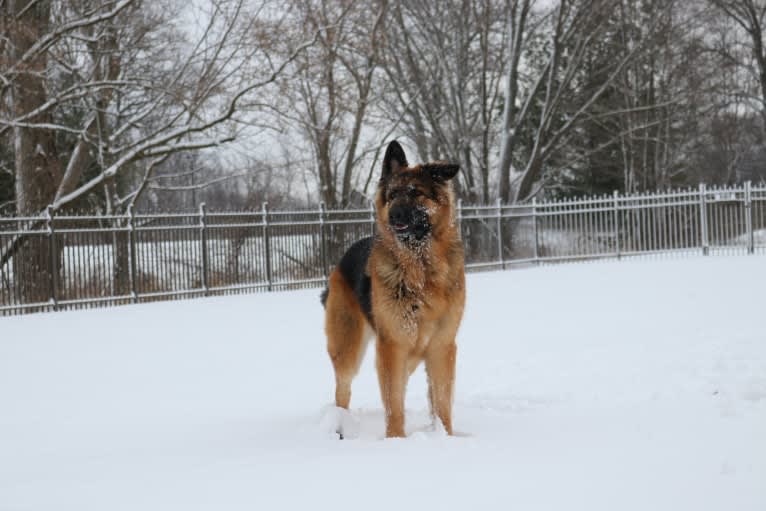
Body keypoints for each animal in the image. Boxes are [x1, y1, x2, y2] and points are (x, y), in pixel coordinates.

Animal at [320, 141, 464, 440]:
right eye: (392, 195)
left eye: (416, 192)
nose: (395, 214)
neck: (421, 270)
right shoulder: (393, 346)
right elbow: (394, 403)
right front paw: (396, 441)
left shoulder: (442, 347)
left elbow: (442, 402)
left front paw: (444, 437)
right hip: (348, 347)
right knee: (342, 390)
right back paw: (340, 427)